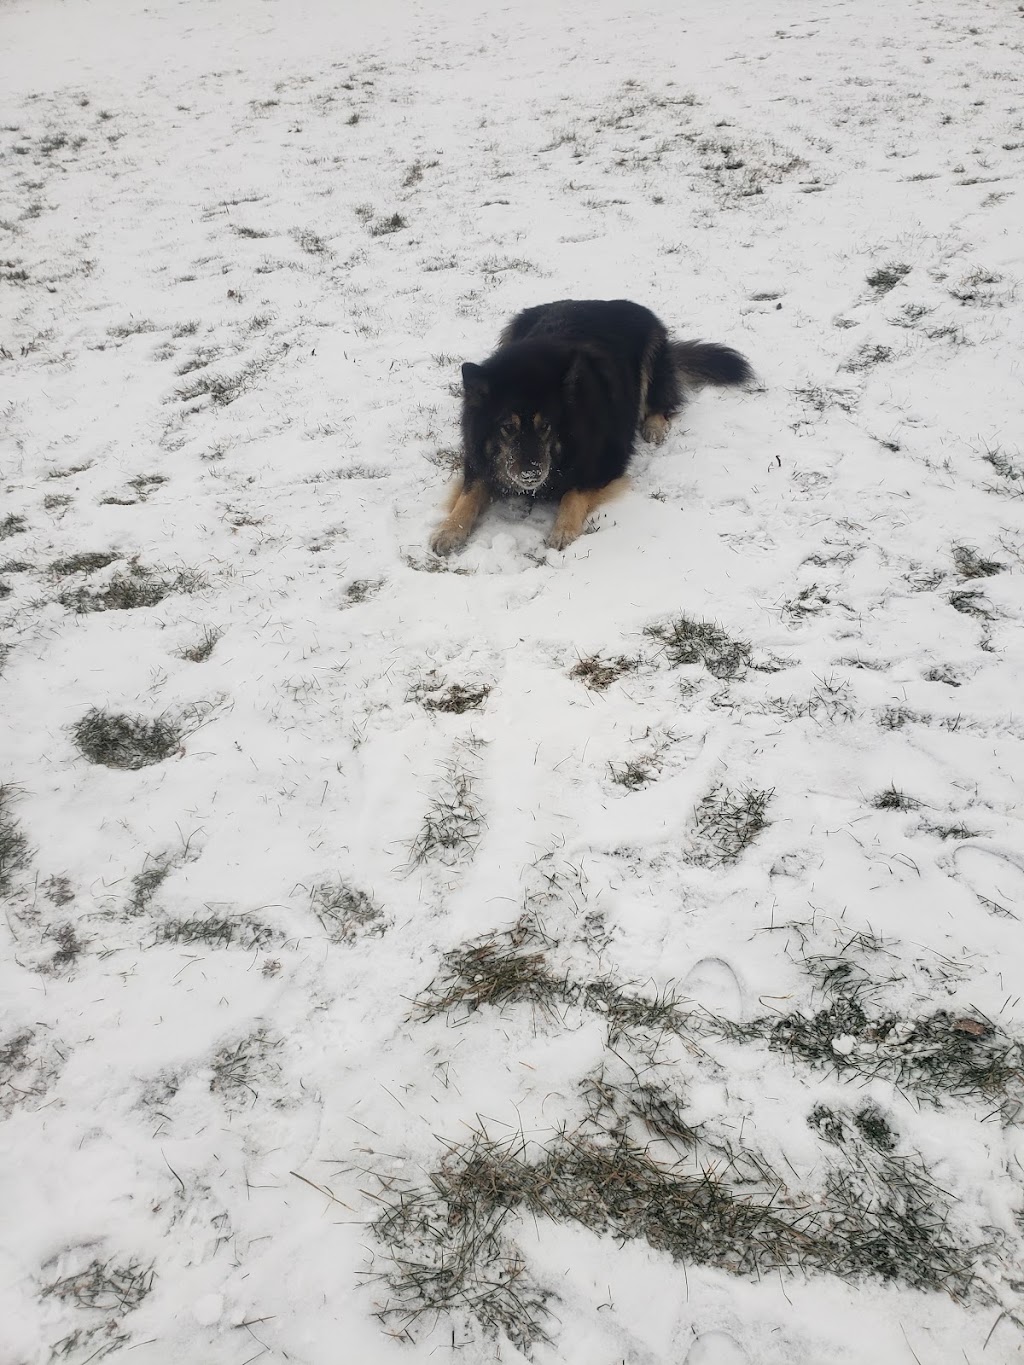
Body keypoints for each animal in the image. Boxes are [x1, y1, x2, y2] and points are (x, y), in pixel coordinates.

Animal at [429, 298, 752, 555]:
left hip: (652, 357)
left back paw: (654, 427)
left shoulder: (606, 462)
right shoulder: (478, 460)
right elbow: (469, 494)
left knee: (662, 401)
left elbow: (574, 493)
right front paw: (449, 530)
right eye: (508, 427)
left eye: (546, 426)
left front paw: (563, 530)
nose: (531, 474)